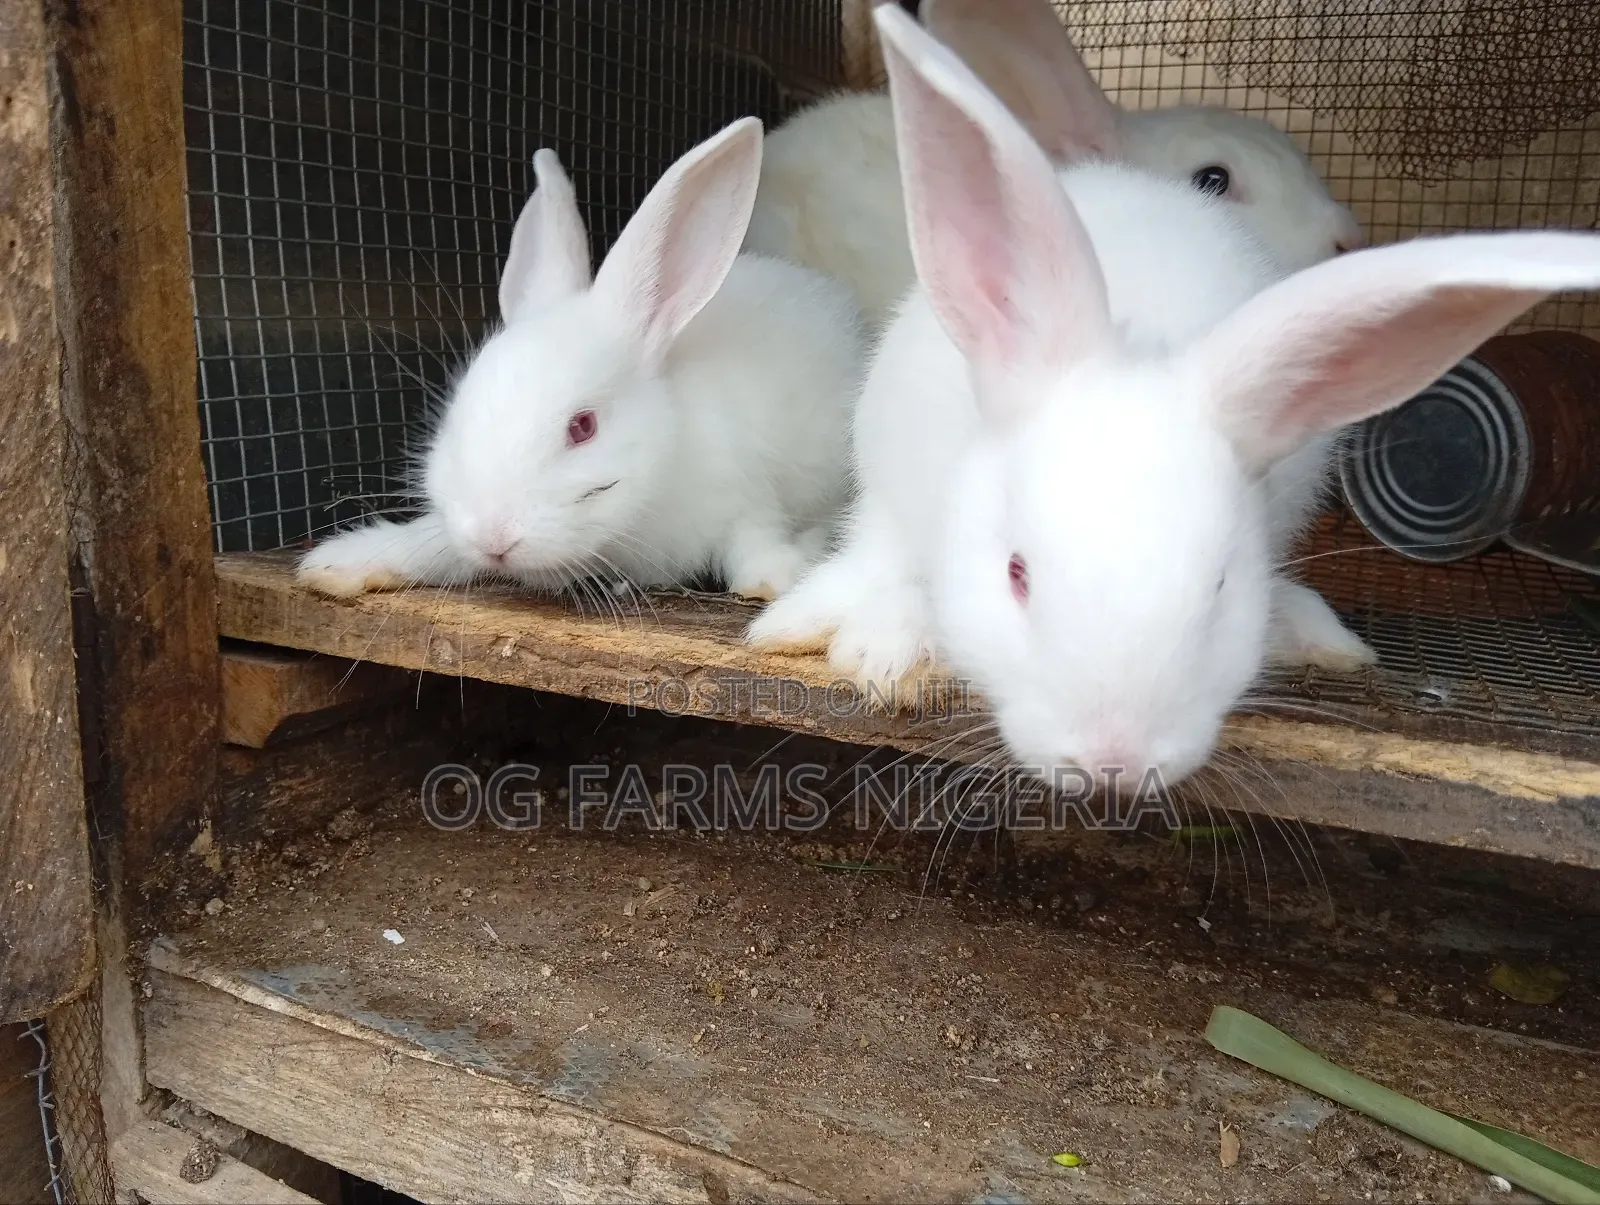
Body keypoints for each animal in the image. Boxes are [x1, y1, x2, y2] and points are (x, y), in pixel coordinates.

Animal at [298, 117, 865, 604]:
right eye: (455, 421)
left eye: (583, 427)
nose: (493, 539)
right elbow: (430, 543)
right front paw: (337, 565)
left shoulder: (745, 496)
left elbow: (755, 543)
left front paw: (782, 577)